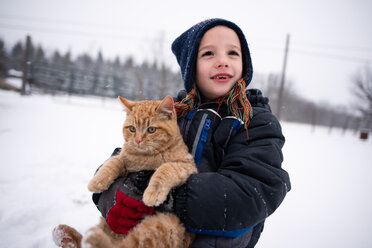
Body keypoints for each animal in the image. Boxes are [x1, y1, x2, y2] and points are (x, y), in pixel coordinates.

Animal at [54, 95, 198, 248]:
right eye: (132, 129)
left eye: (151, 129)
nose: (138, 140)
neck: (145, 157)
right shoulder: (124, 159)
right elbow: (113, 162)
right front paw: (97, 181)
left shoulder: (187, 165)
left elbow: (165, 168)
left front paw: (152, 193)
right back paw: (65, 235)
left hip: (166, 226)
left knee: (123, 245)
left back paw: (89, 237)